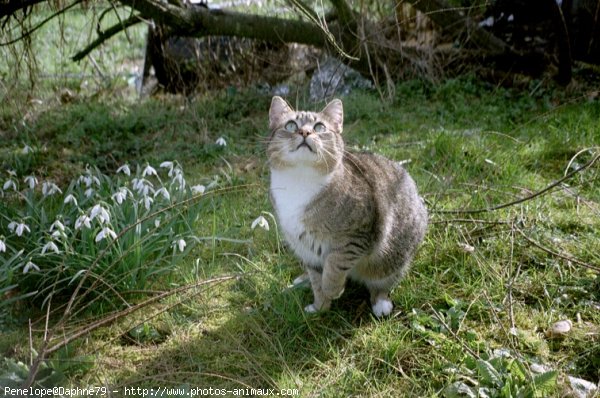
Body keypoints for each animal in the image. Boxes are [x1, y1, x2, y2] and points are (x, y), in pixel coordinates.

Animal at [268, 96, 426, 318]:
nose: (305, 132)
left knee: (383, 278)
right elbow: (316, 279)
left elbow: (335, 262)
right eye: (291, 125)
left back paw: (380, 302)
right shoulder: (306, 248)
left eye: (319, 127)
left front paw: (332, 289)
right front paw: (319, 306)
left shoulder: (356, 235)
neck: (300, 180)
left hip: (395, 253)